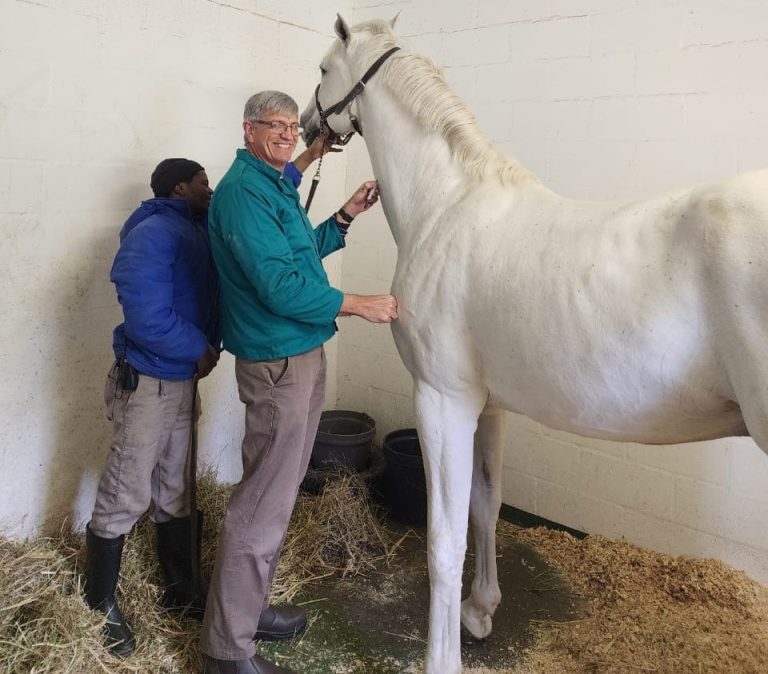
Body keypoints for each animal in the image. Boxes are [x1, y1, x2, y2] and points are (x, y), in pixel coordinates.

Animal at [300, 15, 768, 674]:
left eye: (323, 69)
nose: (305, 125)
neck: (445, 206)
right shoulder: (489, 406)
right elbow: (486, 505)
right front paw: (480, 611)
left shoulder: (442, 401)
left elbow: (445, 541)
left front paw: (442, 657)